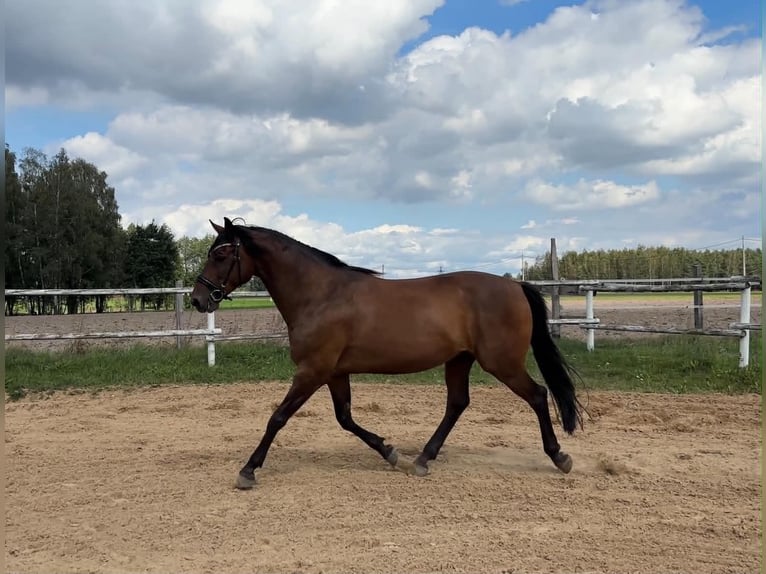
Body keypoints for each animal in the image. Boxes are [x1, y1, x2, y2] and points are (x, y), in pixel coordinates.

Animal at [191, 217, 584, 489]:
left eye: (221, 253)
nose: (198, 299)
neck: (320, 294)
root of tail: (515, 286)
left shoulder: (312, 370)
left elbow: (278, 418)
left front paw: (248, 470)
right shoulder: (334, 372)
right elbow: (345, 418)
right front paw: (390, 452)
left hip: (501, 362)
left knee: (538, 395)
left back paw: (559, 456)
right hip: (460, 360)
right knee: (457, 403)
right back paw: (422, 459)